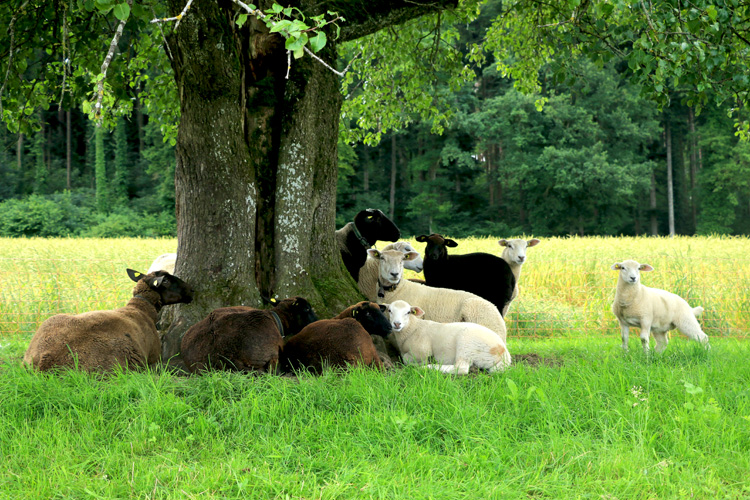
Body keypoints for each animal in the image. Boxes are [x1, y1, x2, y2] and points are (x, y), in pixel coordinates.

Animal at [384, 298, 516, 374]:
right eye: (389, 310)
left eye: (408, 312)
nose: (397, 324)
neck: (413, 328)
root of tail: (504, 352)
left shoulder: (422, 350)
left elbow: (405, 359)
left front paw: (419, 363)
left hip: (466, 344)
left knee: (461, 369)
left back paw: (429, 367)